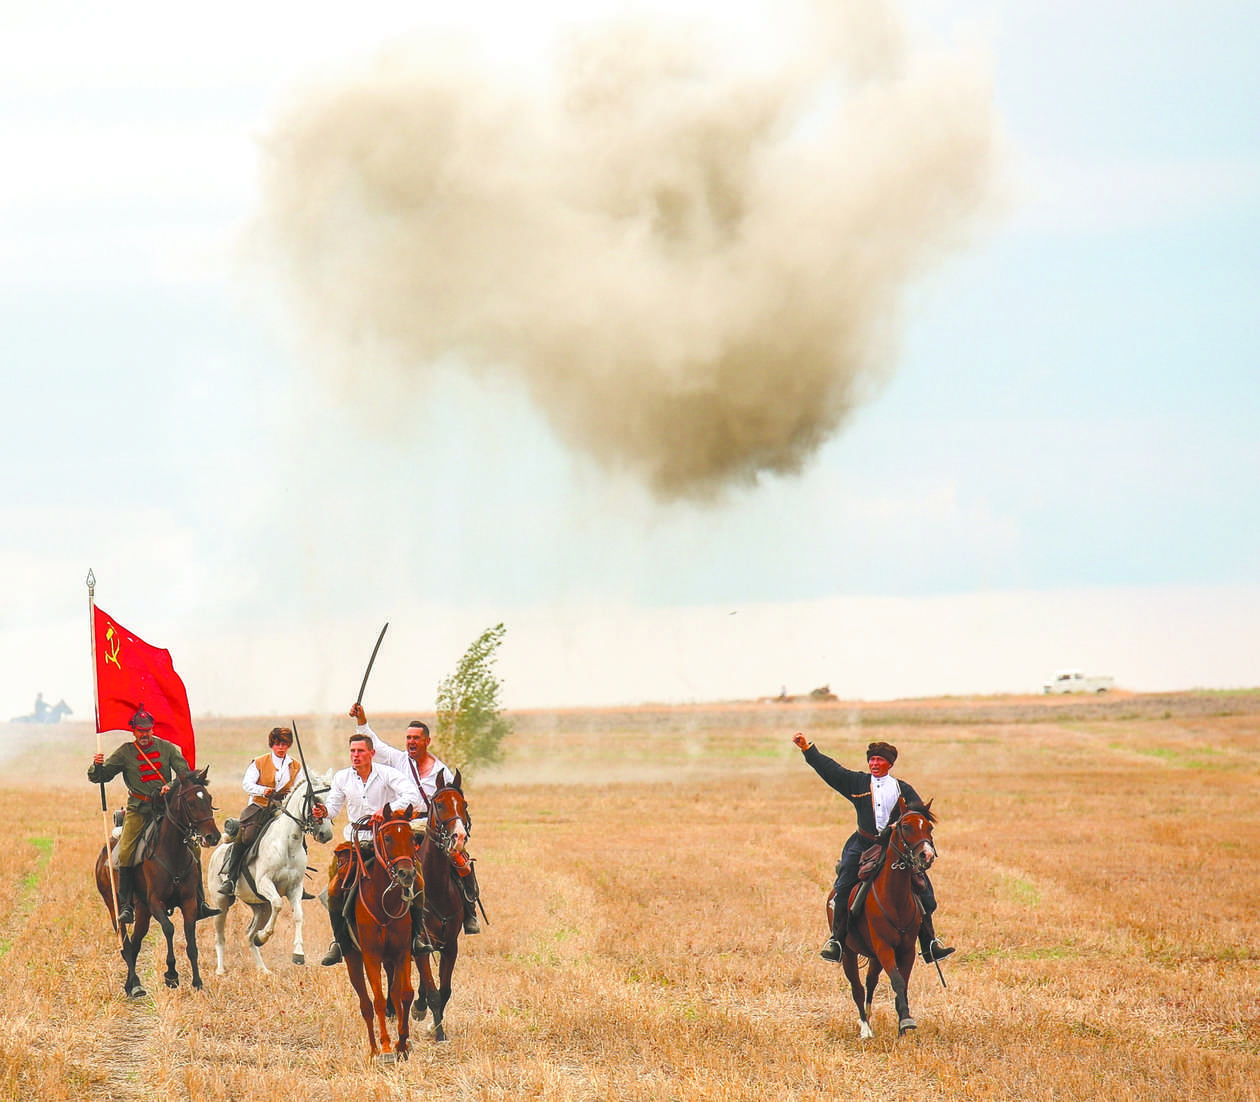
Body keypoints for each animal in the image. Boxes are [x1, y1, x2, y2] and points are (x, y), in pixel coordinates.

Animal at [92, 765, 221, 997]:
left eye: (209, 798)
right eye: (190, 802)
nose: (212, 837)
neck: (172, 852)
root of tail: (104, 854)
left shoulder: (189, 903)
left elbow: (191, 941)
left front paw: (197, 982)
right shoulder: (155, 902)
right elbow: (169, 929)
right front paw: (171, 975)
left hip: (142, 912)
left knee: (135, 944)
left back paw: (131, 985)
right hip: (115, 908)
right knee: (126, 944)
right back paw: (136, 985)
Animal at [210, 765, 335, 972]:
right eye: (316, 801)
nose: (326, 834)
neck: (288, 843)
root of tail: (218, 852)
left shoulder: (295, 888)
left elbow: (298, 916)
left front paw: (298, 954)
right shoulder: (265, 883)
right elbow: (278, 904)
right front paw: (264, 937)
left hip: (260, 906)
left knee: (249, 934)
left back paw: (263, 969)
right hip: (221, 903)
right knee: (220, 936)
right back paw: (220, 970)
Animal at [342, 806, 420, 1062]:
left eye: (412, 838)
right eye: (387, 838)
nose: (406, 874)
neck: (383, 901)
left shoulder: (402, 953)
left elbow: (405, 994)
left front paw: (402, 1044)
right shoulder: (371, 956)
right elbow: (377, 1001)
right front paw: (386, 1048)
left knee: (394, 995)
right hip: (353, 960)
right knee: (366, 1004)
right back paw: (374, 1048)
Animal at [831, 795, 942, 1037]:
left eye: (929, 827)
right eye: (906, 826)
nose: (927, 855)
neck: (895, 898)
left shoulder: (906, 949)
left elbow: (903, 984)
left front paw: (903, 1025)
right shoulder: (884, 947)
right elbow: (897, 981)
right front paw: (906, 1021)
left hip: (873, 957)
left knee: (870, 982)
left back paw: (869, 1015)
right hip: (849, 954)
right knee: (857, 988)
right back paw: (865, 1028)